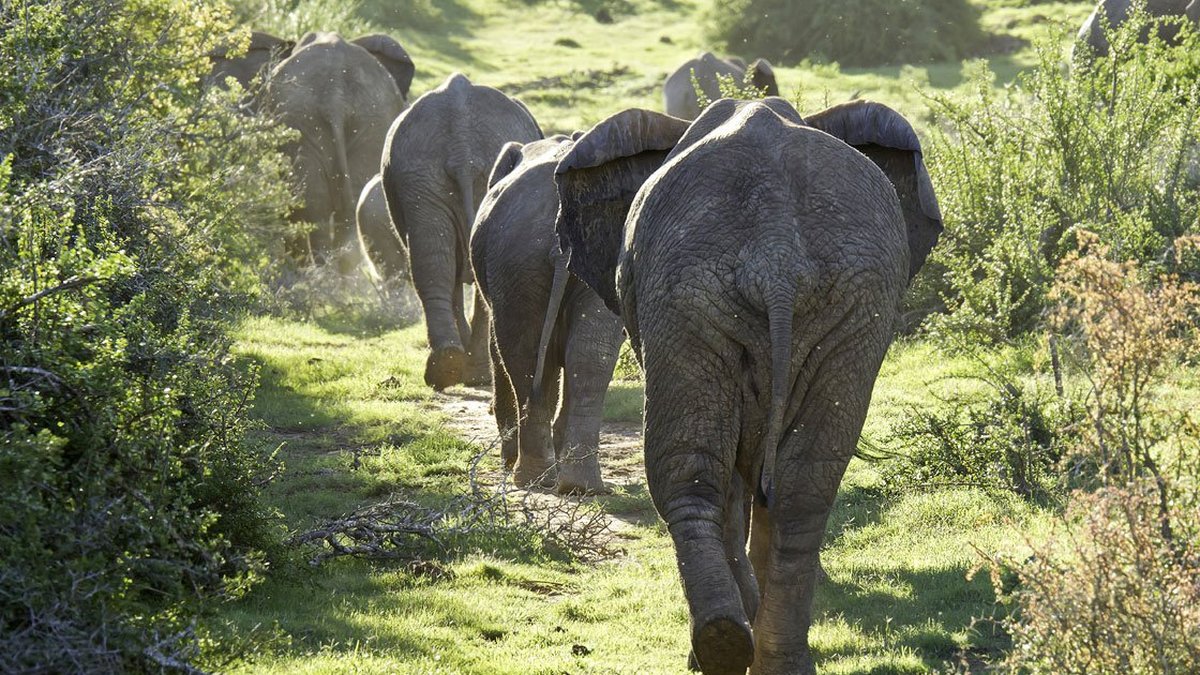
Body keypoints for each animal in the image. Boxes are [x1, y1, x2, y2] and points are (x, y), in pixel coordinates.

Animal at [263, 32, 411, 268]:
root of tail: (336, 96)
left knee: (313, 206)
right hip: (369, 123)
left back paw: (311, 271)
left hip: (301, 121)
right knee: (340, 206)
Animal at [381, 73, 543, 390]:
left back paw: (458, 370)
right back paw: (457, 367)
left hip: (422, 172)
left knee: (438, 262)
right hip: (423, 175)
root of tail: (461, 144)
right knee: (440, 262)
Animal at [470, 136, 625, 494]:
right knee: (588, 356)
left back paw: (531, 477)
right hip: (557, 262)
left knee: (521, 355)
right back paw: (578, 485)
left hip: (515, 264)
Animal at [554, 98, 942, 674]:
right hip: (847, 299)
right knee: (806, 484)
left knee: (689, 472)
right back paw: (772, 657)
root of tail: (777, 256)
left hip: (688, 294)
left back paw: (718, 646)